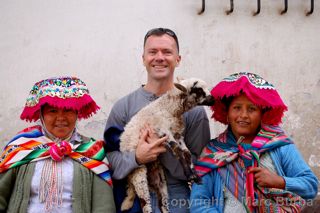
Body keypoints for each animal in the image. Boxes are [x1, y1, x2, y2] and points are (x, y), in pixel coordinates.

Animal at [119, 78, 214, 213]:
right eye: (199, 90)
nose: (213, 99)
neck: (169, 108)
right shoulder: (164, 131)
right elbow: (178, 152)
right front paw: (189, 175)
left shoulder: (177, 134)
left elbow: (187, 153)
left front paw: (196, 176)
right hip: (138, 173)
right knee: (145, 203)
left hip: (158, 179)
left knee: (162, 204)